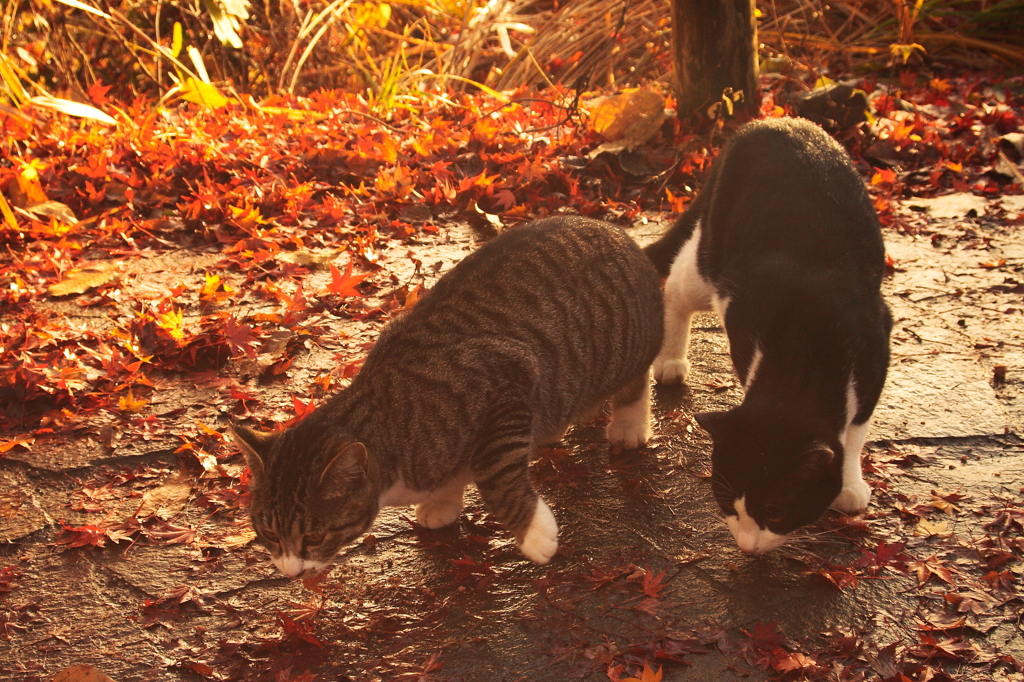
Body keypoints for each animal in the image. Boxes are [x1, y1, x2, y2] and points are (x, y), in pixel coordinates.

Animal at [231, 215, 663, 577]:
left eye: (314, 537)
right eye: (268, 533)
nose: (290, 572)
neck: (391, 416)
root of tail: (620, 236)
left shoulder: (507, 380)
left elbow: (493, 472)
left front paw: (535, 534)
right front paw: (443, 501)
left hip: (621, 345)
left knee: (636, 380)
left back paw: (629, 424)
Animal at [643, 116, 892, 552]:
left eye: (775, 511)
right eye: (727, 504)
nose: (747, 545)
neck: (803, 355)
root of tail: (768, 121)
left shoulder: (877, 347)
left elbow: (857, 430)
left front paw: (849, 484)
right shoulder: (741, 307)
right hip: (712, 260)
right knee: (676, 281)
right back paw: (670, 360)